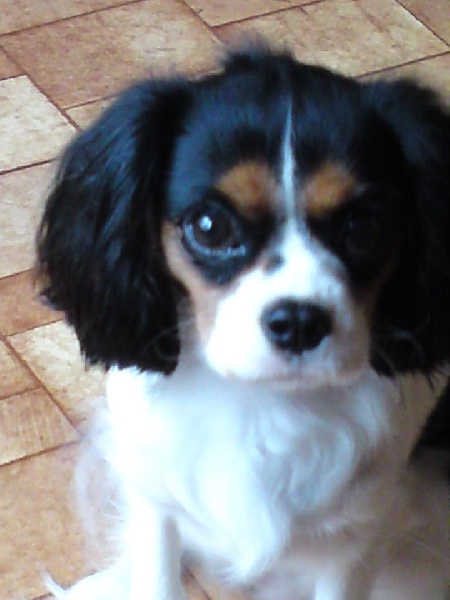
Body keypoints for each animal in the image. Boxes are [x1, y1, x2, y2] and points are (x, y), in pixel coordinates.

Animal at [37, 44, 450, 599]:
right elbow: (157, 567)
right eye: (210, 226)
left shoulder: (357, 538)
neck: (260, 398)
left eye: (364, 227)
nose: (298, 321)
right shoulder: (154, 493)